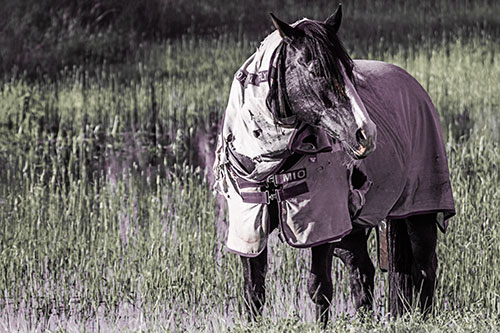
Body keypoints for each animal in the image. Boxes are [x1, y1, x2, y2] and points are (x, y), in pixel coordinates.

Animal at [213, 4, 456, 326]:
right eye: (317, 70)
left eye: (350, 70)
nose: (366, 133)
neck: (273, 162)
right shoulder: (251, 226)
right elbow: (254, 292)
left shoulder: (322, 226)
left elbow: (319, 288)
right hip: (353, 229)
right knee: (362, 271)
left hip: (419, 212)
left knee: (426, 267)